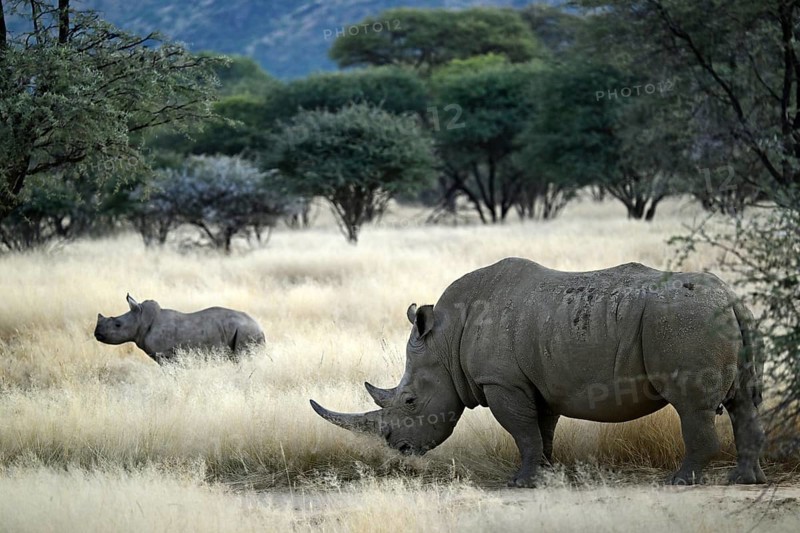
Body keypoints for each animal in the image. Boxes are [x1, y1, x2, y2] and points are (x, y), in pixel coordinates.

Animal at [94, 294, 265, 364]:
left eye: (117, 325)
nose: (96, 334)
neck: (141, 320)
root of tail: (260, 327)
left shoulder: (166, 355)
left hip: (246, 332)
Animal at [311, 258, 766, 487]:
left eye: (409, 401)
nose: (398, 448)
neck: (445, 340)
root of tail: (729, 297)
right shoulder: (538, 382)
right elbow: (541, 431)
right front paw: (545, 475)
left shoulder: (502, 382)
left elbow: (522, 431)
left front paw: (520, 484)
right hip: (718, 316)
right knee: (744, 403)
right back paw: (745, 481)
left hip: (684, 320)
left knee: (691, 407)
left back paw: (680, 482)